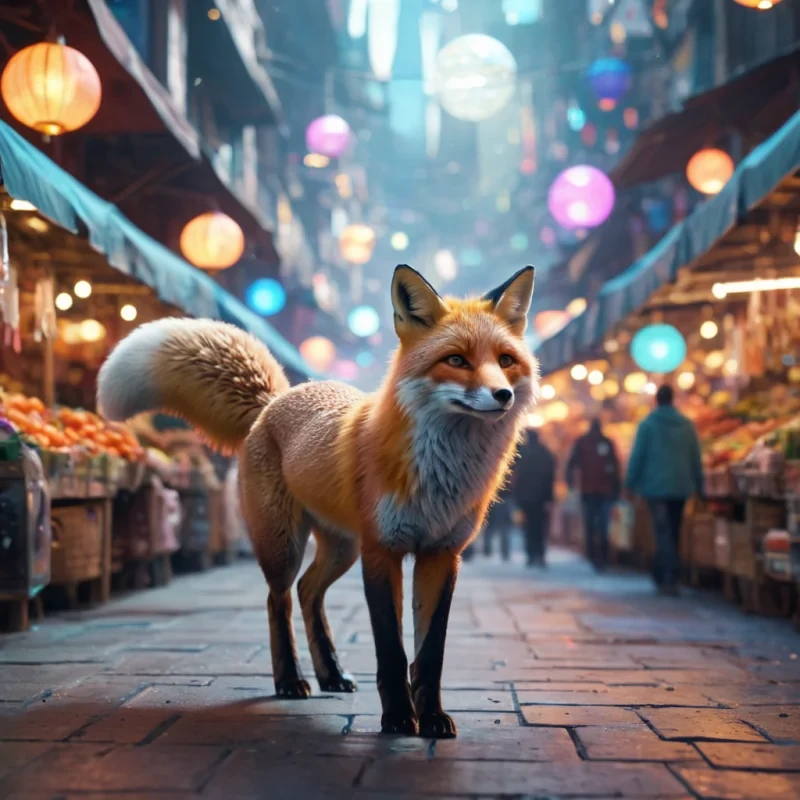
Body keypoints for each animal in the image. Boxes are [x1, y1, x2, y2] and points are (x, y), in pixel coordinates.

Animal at [97, 264, 538, 739]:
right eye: (456, 360)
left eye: (505, 361)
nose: (503, 395)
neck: (441, 474)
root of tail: (275, 400)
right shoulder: (382, 551)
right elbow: (391, 649)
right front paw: (398, 718)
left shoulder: (441, 554)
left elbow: (430, 654)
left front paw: (432, 717)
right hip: (285, 546)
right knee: (279, 601)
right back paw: (290, 681)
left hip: (342, 548)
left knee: (309, 591)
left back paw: (331, 673)